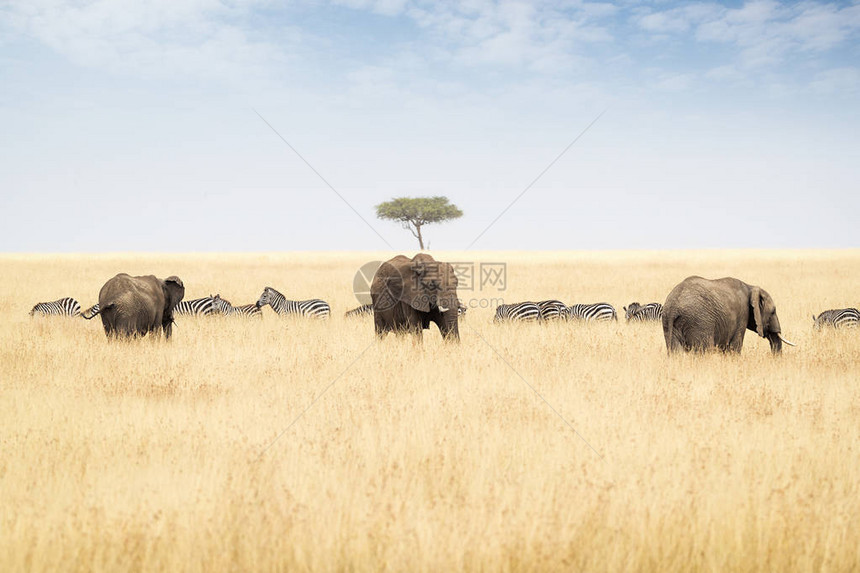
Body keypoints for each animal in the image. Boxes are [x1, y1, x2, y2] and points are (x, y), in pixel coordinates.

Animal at [660, 276, 796, 354]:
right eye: (773, 311)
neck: (750, 287)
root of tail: (673, 307)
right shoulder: (742, 314)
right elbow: (734, 347)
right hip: (699, 322)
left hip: (669, 322)